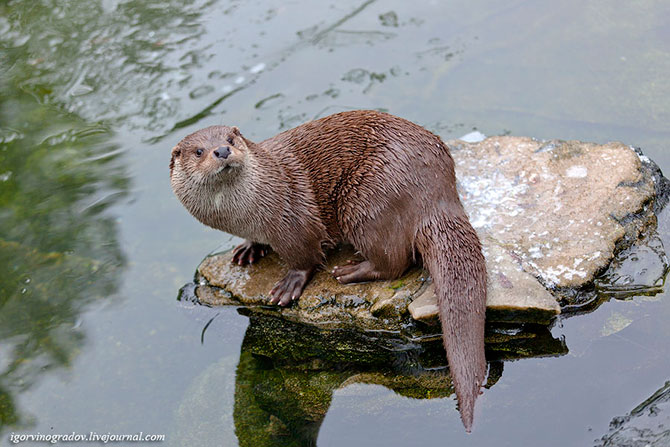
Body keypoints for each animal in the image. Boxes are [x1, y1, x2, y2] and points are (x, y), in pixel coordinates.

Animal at [172, 110, 488, 432]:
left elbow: (306, 255)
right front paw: (248, 249)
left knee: (394, 262)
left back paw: (350, 271)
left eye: (230, 139)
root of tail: (440, 188)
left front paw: (289, 285)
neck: (245, 213)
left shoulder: (292, 219)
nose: (222, 151)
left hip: (366, 199)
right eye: (199, 151)